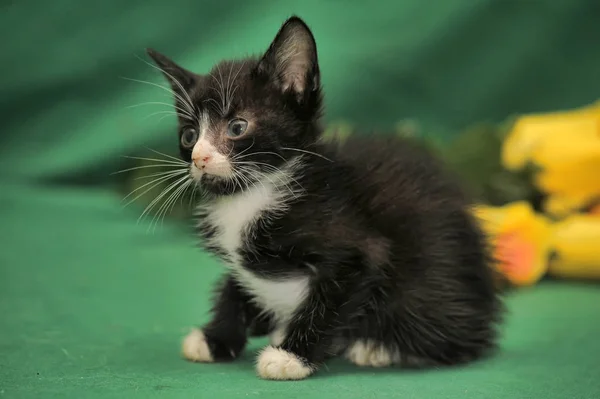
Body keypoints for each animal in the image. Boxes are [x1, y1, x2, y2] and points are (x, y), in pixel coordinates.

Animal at [145, 15, 502, 382]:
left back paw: (379, 347)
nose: (199, 158)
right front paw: (216, 337)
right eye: (189, 136)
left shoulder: (356, 249)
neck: (253, 194)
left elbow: (329, 302)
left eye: (237, 127)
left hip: (430, 288)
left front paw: (291, 356)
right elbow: (235, 286)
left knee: (456, 337)